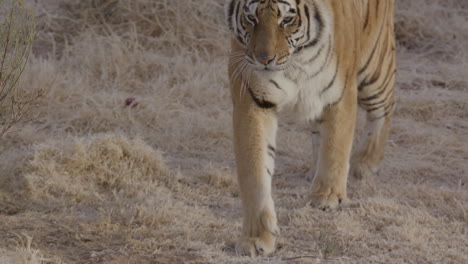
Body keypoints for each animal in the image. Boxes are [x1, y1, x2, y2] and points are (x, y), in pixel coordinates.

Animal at [225, 0, 394, 256]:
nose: (264, 59)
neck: (296, 61)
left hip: (375, 68)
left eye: (287, 19)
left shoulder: (340, 93)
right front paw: (256, 238)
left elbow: (335, 147)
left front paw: (328, 197)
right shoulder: (252, 100)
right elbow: (255, 172)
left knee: (385, 107)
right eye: (251, 18)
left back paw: (365, 163)